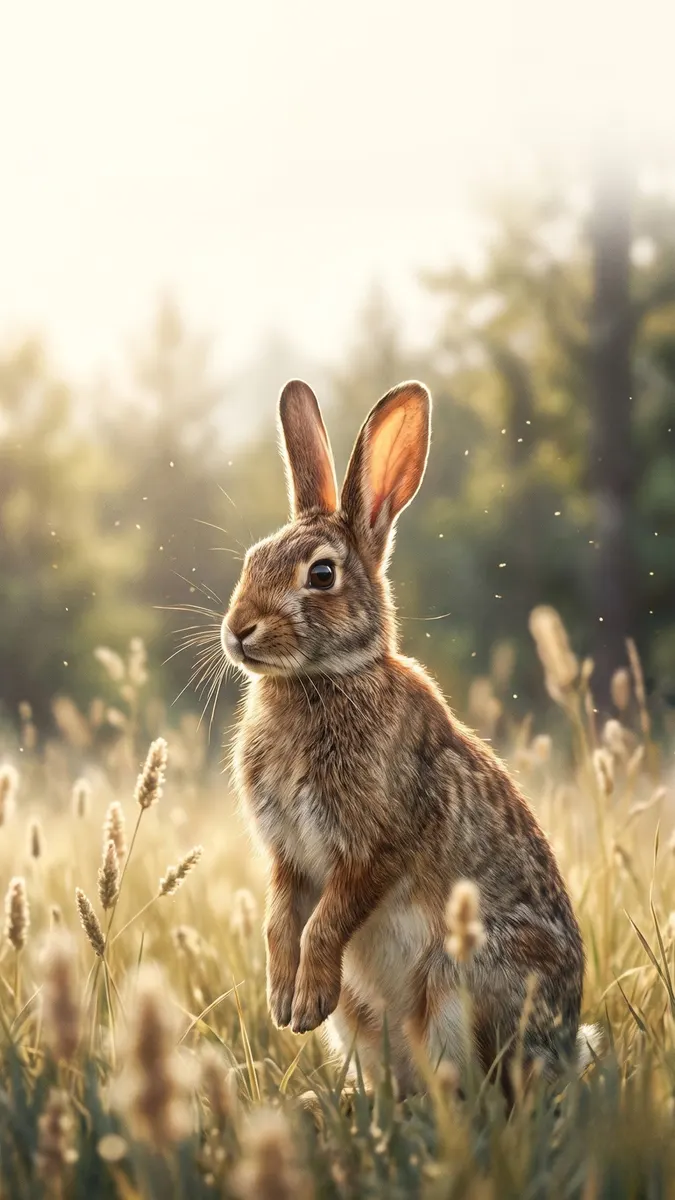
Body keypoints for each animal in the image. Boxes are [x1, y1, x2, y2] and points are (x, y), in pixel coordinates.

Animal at [221, 378, 600, 1100]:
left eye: (320, 575)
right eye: (251, 560)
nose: (238, 630)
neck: (321, 679)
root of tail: (562, 1046)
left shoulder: (376, 845)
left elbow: (327, 921)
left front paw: (304, 1002)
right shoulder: (288, 856)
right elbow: (281, 919)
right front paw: (283, 1000)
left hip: (459, 982)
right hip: (364, 1017)